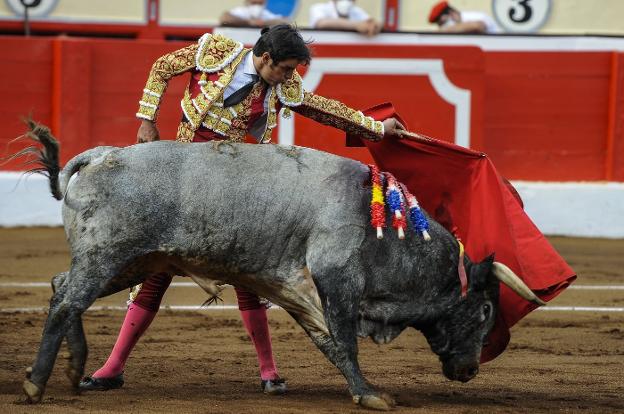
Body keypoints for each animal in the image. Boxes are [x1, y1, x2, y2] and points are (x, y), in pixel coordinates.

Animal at [22, 123, 544, 410]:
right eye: (485, 311)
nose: (471, 370)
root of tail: (101, 155)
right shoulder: (335, 278)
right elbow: (344, 341)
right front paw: (369, 394)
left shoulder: (294, 287)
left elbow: (328, 340)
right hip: (108, 255)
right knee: (67, 300)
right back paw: (35, 384)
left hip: (128, 262)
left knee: (62, 289)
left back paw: (74, 370)